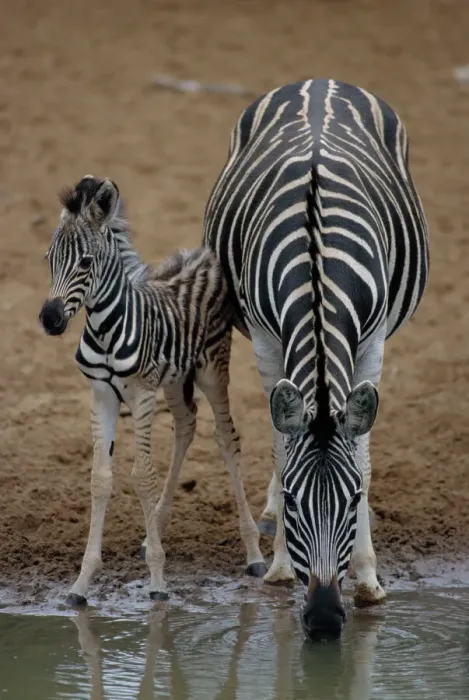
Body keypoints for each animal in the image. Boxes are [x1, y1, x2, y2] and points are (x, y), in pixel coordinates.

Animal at [39, 175, 266, 605]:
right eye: (49, 259)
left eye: (86, 263)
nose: (50, 318)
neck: (105, 329)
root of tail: (200, 254)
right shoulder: (101, 395)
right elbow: (100, 478)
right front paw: (81, 584)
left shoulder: (141, 394)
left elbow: (142, 475)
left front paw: (159, 582)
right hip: (176, 380)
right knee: (186, 425)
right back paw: (153, 530)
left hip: (212, 370)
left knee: (227, 438)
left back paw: (255, 554)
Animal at [203, 79, 429, 640]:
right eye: (293, 501)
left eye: (352, 501)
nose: (326, 621)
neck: (319, 269)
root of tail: (322, 83)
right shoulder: (266, 338)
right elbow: (282, 447)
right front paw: (281, 566)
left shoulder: (373, 340)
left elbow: (362, 456)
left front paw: (368, 578)